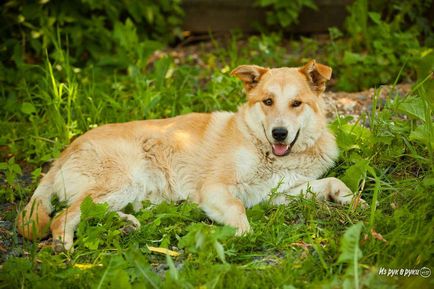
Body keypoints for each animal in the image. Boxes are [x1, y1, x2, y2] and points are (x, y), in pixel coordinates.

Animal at [17, 60, 364, 250]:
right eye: (267, 101)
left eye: (296, 103)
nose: (279, 133)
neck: (268, 151)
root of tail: (65, 151)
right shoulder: (215, 189)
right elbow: (238, 212)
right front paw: (241, 237)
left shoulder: (280, 192)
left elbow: (333, 182)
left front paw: (354, 201)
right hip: (123, 182)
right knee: (62, 217)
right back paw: (64, 248)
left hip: (123, 192)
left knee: (86, 212)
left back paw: (126, 225)